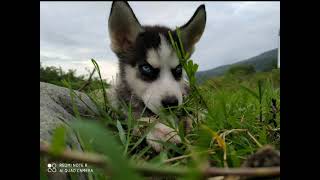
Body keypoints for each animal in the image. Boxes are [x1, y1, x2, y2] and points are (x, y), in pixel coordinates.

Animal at [107, 1, 206, 151]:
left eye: (178, 69)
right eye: (146, 68)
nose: (171, 104)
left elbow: (197, 113)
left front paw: (195, 119)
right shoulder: (121, 106)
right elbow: (137, 118)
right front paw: (160, 130)